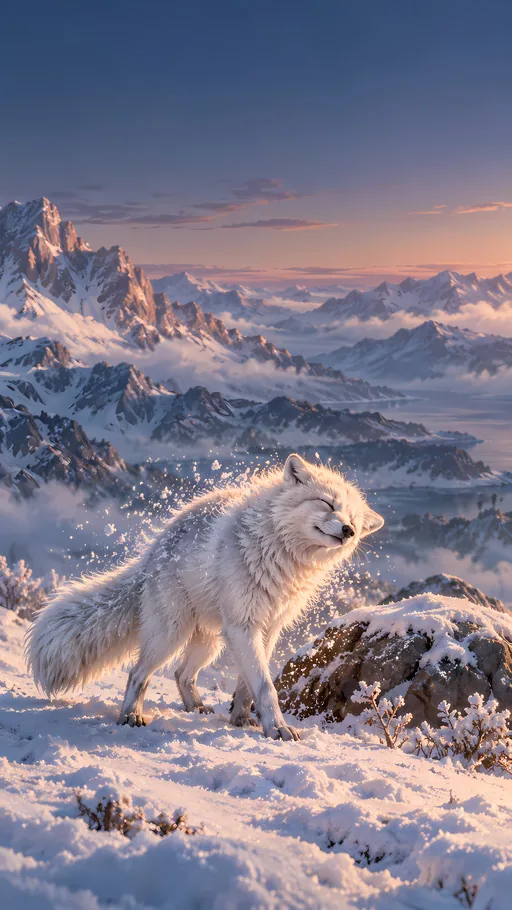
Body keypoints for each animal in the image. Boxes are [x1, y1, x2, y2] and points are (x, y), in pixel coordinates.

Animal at [27, 454, 384, 741]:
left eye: (353, 518)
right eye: (327, 504)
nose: (349, 531)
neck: (281, 554)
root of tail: (153, 553)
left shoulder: (266, 629)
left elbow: (248, 686)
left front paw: (242, 720)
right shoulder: (243, 626)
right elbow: (265, 686)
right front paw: (277, 729)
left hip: (209, 643)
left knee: (181, 674)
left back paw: (195, 708)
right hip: (172, 635)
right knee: (138, 674)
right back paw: (131, 715)